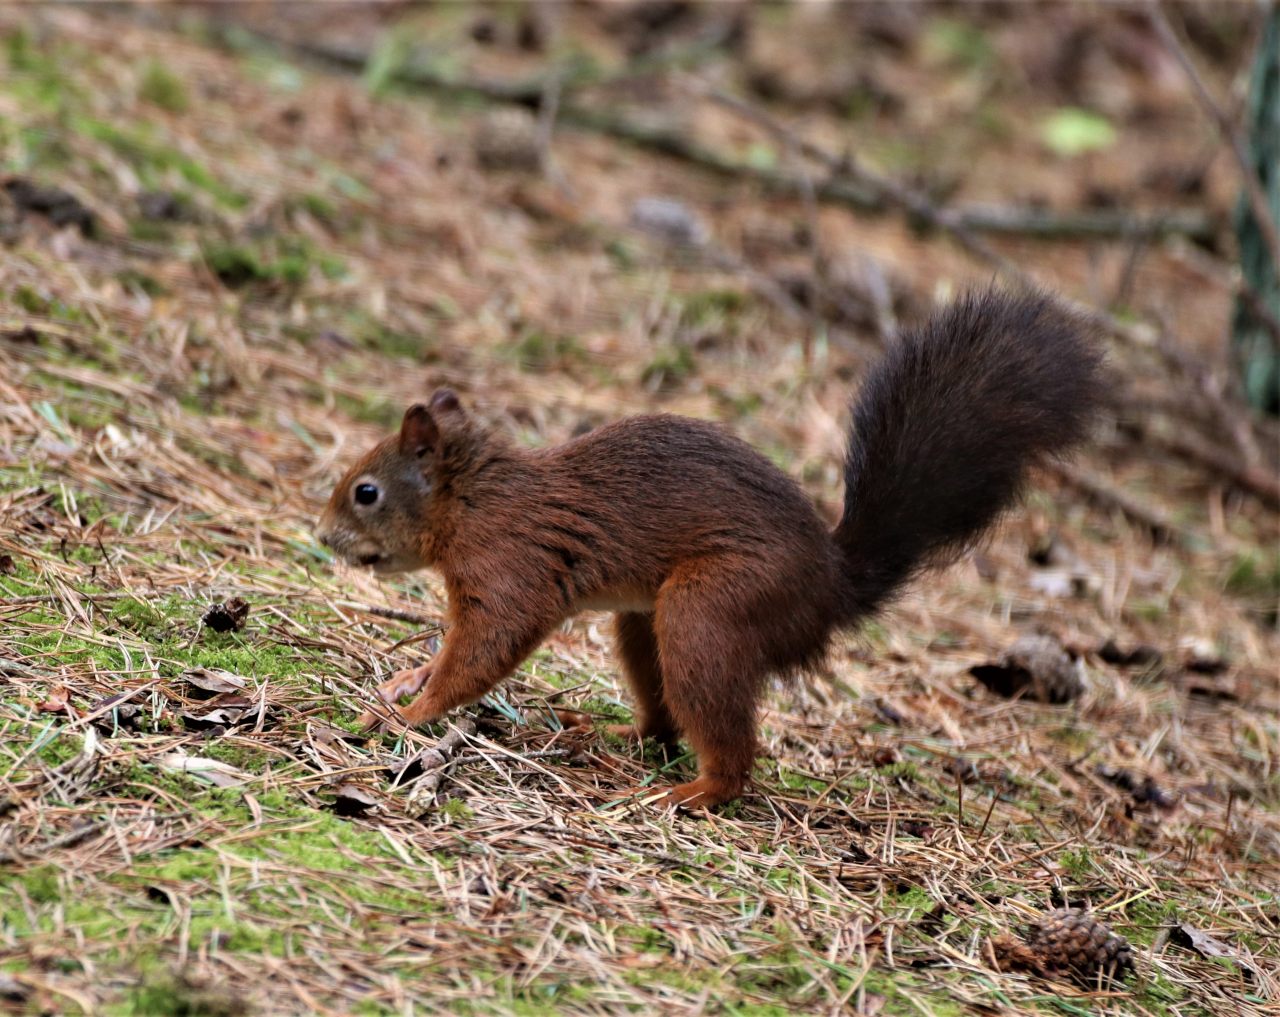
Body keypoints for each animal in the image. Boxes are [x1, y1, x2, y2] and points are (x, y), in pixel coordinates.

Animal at [316, 288, 1102, 808]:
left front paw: (410, 715)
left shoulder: (511, 566)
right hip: (644, 624)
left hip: (711, 612)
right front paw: (403, 682)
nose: (323, 537)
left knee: (730, 745)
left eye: (365, 492)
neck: (475, 500)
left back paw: (692, 793)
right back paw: (612, 738)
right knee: (662, 715)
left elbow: (483, 650)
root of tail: (832, 584)